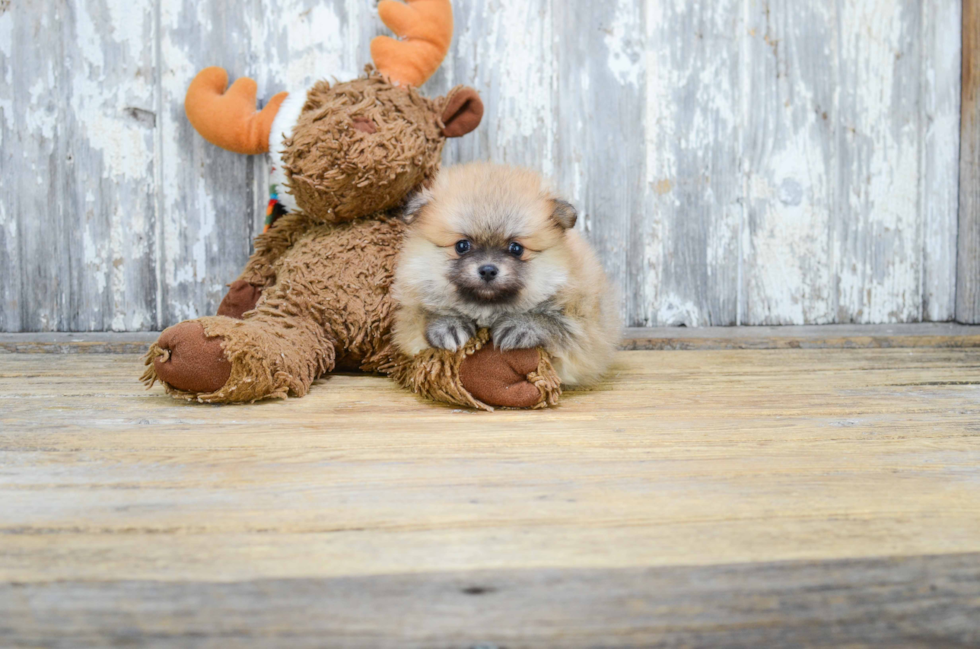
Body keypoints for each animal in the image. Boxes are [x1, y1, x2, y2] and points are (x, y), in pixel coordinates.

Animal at [390, 162, 620, 388]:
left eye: (516, 248)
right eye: (462, 246)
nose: (488, 270)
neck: (488, 310)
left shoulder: (584, 324)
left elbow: (557, 326)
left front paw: (522, 326)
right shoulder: (408, 315)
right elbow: (421, 316)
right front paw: (448, 324)